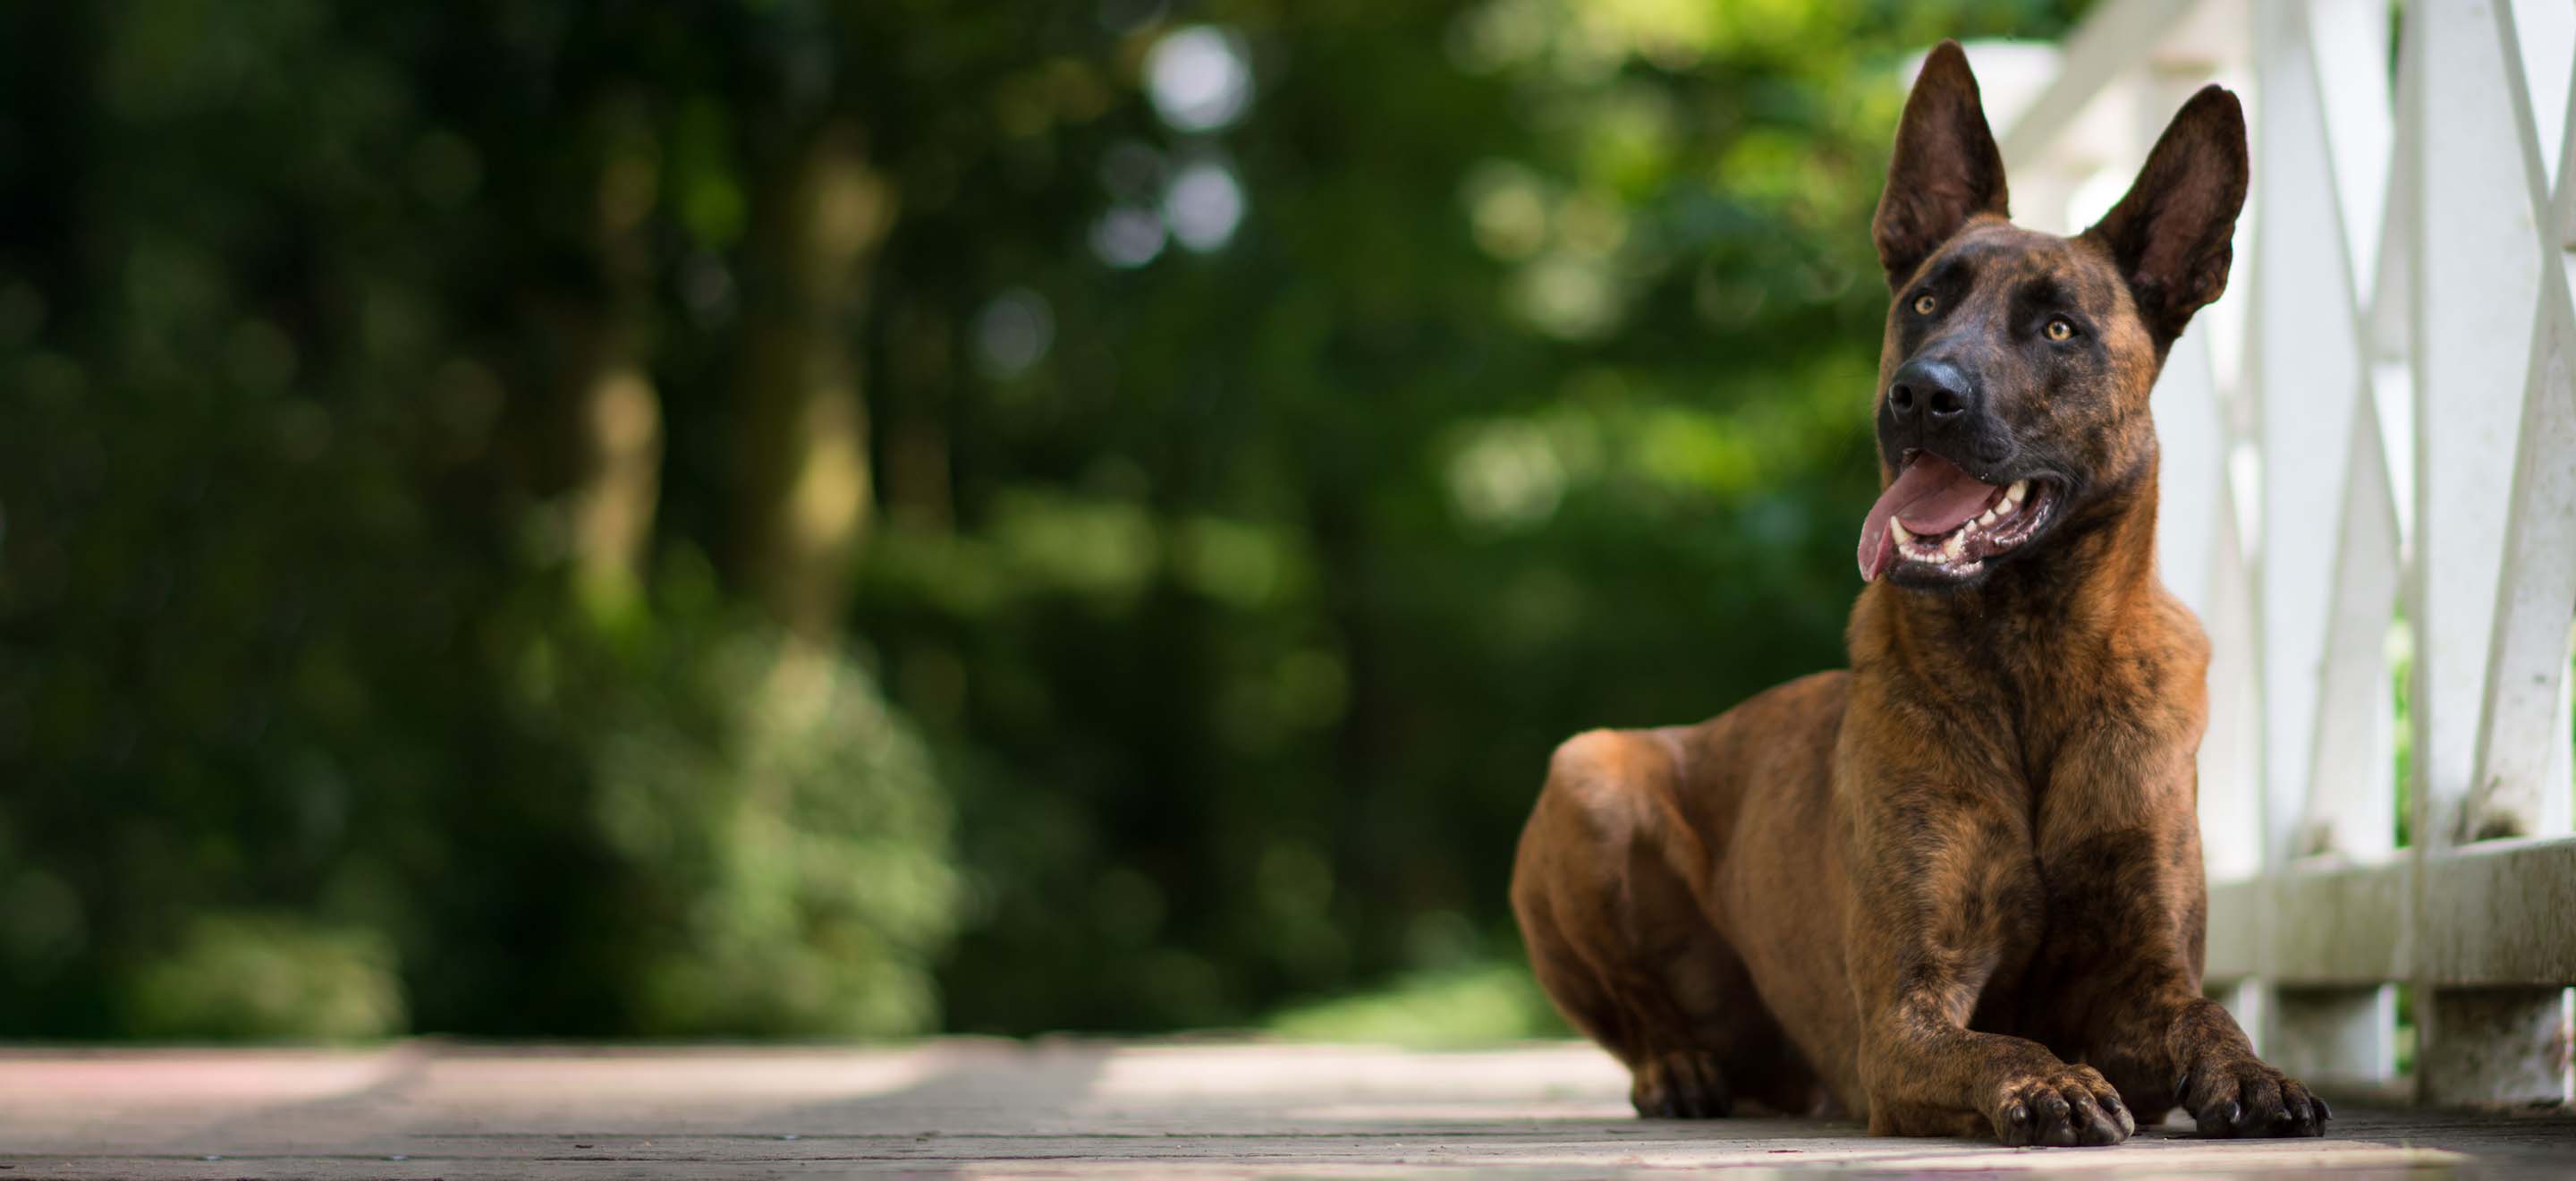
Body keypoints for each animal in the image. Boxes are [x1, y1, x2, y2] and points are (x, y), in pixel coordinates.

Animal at [1504, 43, 2328, 1144]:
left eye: (2058, 328)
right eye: (1926, 303)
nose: (1924, 394)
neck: (2028, 661)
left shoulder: (2146, 977)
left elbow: (2206, 1016)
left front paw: (2254, 1071)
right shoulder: (1905, 1011)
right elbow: (1996, 1043)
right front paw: (2048, 1082)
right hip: (1585, 777)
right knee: (1641, 1018)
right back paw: (1678, 1068)